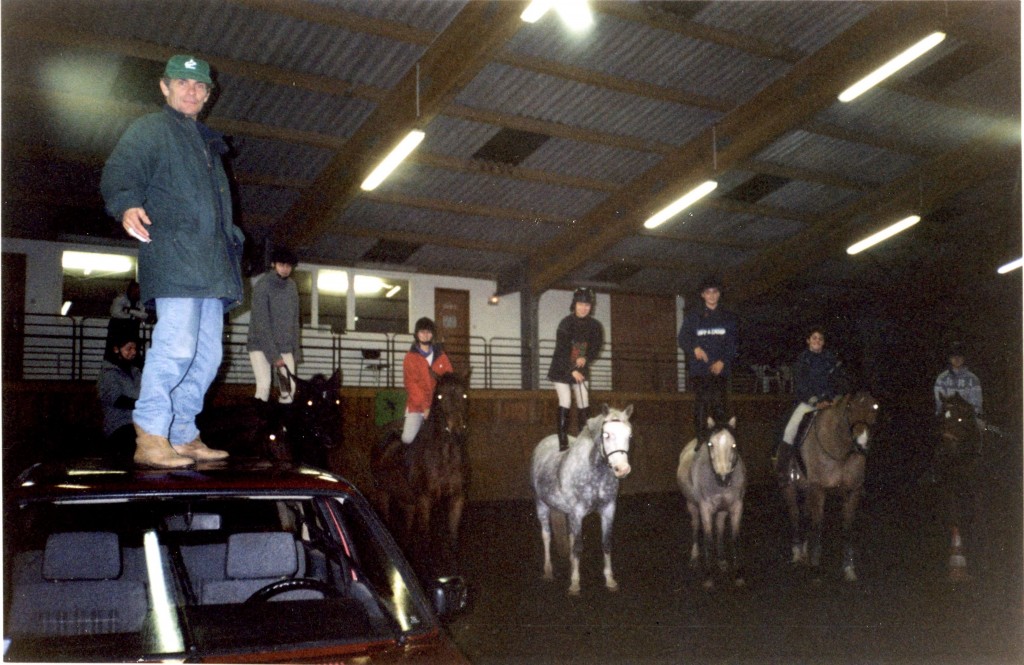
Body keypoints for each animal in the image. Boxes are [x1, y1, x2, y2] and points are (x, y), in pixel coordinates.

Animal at [370, 368, 468, 573]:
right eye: (439, 396)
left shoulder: (457, 498)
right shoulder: (425, 500)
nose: (457, 430)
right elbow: (426, 538)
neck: (445, 455)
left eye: (464, 395)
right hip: (382, 492)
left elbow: (452, 539)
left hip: (407, 500)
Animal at [536, 403, 630, 598]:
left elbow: (606, 543)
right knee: (546, 536)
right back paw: (548, 571)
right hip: (541, 505)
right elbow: (578, 546)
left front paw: (610, 580)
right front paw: (574, 583)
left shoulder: (609, 509)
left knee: (570, 538)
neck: (595, 472)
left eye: (629, 435)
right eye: (606, 434)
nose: (622, 469)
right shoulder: (577, 513)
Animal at [679, 413, 745, 586]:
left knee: (720, 529)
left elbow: (733, 537)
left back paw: (721, 560)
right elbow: (708, 539)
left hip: (722, 511)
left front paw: (738, 574)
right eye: (710, 444)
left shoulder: (736, 507)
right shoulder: (705, 509)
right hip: (692, 505)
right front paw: (708, 576)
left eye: (734, 445)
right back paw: (695, 557)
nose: (723, 478)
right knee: (696, 527)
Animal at [778, 389, 876, 582]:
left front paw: (848, 568)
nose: (861, 443)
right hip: (789, 488)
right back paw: (797, 553)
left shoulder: (852, 491)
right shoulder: (818, 489)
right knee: (795, 515)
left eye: (875, 407)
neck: (840, 451)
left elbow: (847, 528)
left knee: (805, 515)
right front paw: (815, 566)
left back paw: (805, 551)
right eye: (849, 406)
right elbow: (817, 525)